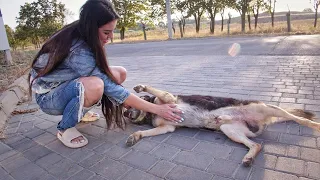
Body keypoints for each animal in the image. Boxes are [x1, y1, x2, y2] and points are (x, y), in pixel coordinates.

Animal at [122, 84, 318, 166]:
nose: (124, 114)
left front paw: (141, 87)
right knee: (256, 145)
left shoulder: (168, 98)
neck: (152, 111)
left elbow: (154, 90)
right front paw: (135, 135)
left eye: (129, 106)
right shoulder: (166, 127)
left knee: (299, 119)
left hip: (268, 108)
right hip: (230, 130)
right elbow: (147, 132)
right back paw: (249, 157)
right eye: (125, 109)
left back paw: (316, 125)